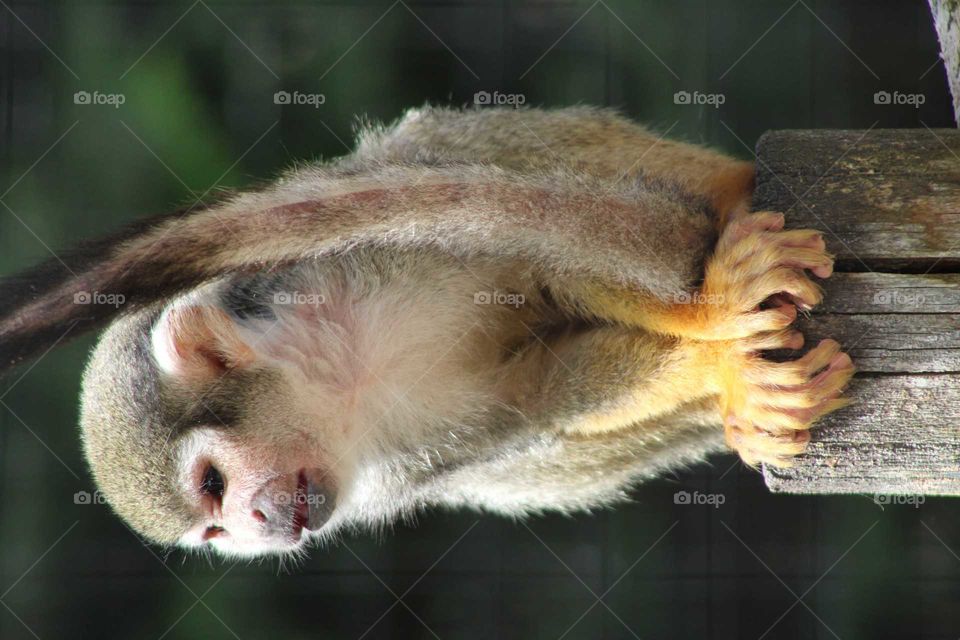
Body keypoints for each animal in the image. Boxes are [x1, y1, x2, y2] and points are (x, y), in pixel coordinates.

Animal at [0, 106, 853, 558]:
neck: (343, 373)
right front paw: (724, 374)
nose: (256, 527)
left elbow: (530, 245)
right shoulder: (396, 465)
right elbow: (533, 400)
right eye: (213, 529)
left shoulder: (352, 250)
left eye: (213, 483)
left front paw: (708, 307)